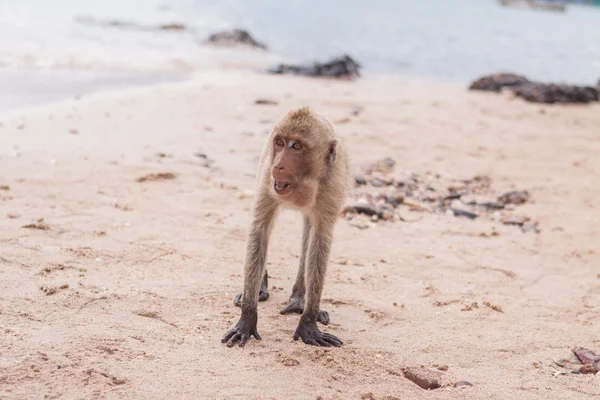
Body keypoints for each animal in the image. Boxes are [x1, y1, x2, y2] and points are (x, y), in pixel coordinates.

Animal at [221, 106, 352, 346]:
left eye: (297, 146)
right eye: (281, 143)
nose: (279, 165)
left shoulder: (333, 184)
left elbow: (320, 240)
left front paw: (308, 323)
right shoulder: (267, 176)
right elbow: (259, 229)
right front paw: (247, 318)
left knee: (309, 233)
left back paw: (299, 299)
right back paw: (260, 289)